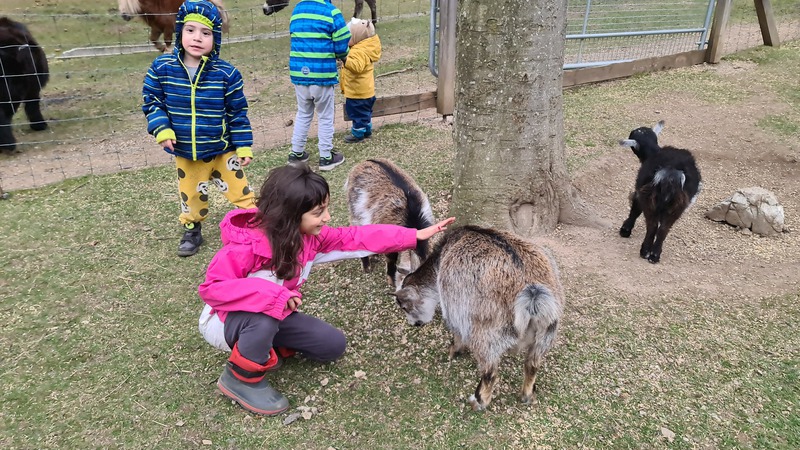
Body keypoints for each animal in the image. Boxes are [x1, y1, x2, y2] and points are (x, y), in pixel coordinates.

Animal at [392, 225, 564, 411]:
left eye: (404, 306)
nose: (414, 323)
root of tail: (532, 294)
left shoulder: (455, 309)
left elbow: (457, 334)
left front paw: (452, 352)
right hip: (546, 334)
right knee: (532, 365)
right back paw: (527, 395)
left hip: (485, 334)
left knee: (490, 371)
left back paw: (479, 401)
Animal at [619, 120, 702, 263]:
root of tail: (671, 173)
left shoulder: (640, 192)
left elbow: (635, 209)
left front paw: (625, 230)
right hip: (678, 205)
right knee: (664, 228)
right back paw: (655, 255)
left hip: (649, 198)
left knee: (652, 225)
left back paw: (645, 251)